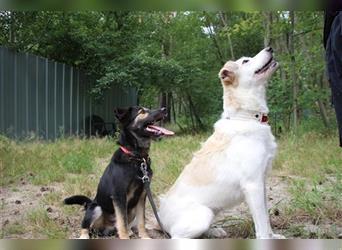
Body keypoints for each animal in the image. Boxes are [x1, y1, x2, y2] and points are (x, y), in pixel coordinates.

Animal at [65, 105, 174, 238]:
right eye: (142, 111)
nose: (164, 109)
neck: (136, 158)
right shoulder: (119, 195)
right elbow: (122, 221)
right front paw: (125, 238)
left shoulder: (142, 194)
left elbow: (141, 221)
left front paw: (145, 237)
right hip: (96, 208)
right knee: (86, 227)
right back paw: (84, 236)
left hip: (131, 210)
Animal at [158, 47, 286, 238]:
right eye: (246, 61)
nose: (269, 48)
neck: (246, 117)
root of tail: (160, 215)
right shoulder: (253, 185)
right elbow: (262, 225)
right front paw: (266, 239)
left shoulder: (262, 182)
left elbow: (266, 219)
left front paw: (274, 236)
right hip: (203, 215)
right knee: (178, 236)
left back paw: (216, 231)